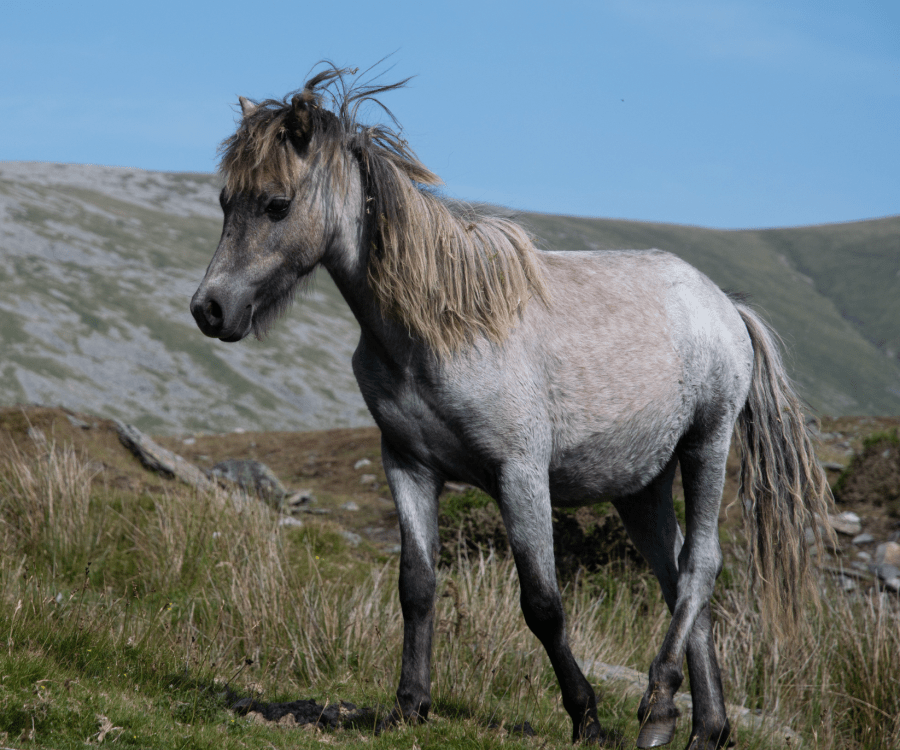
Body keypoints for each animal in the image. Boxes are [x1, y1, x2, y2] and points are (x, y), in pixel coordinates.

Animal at [190, 66, 828, 750]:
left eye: (277, 203)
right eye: (226, 201)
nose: (210, 310)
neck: (437, 330)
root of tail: (725, 305)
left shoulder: (519, 474)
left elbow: (543, 604)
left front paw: (586, 716)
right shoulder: (408, 467)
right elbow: (417, 587)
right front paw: (409, 705)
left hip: (706, 444)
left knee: (700, 567)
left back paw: (658, 707)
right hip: (641, 488)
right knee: (678, 578)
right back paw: (707, 727)